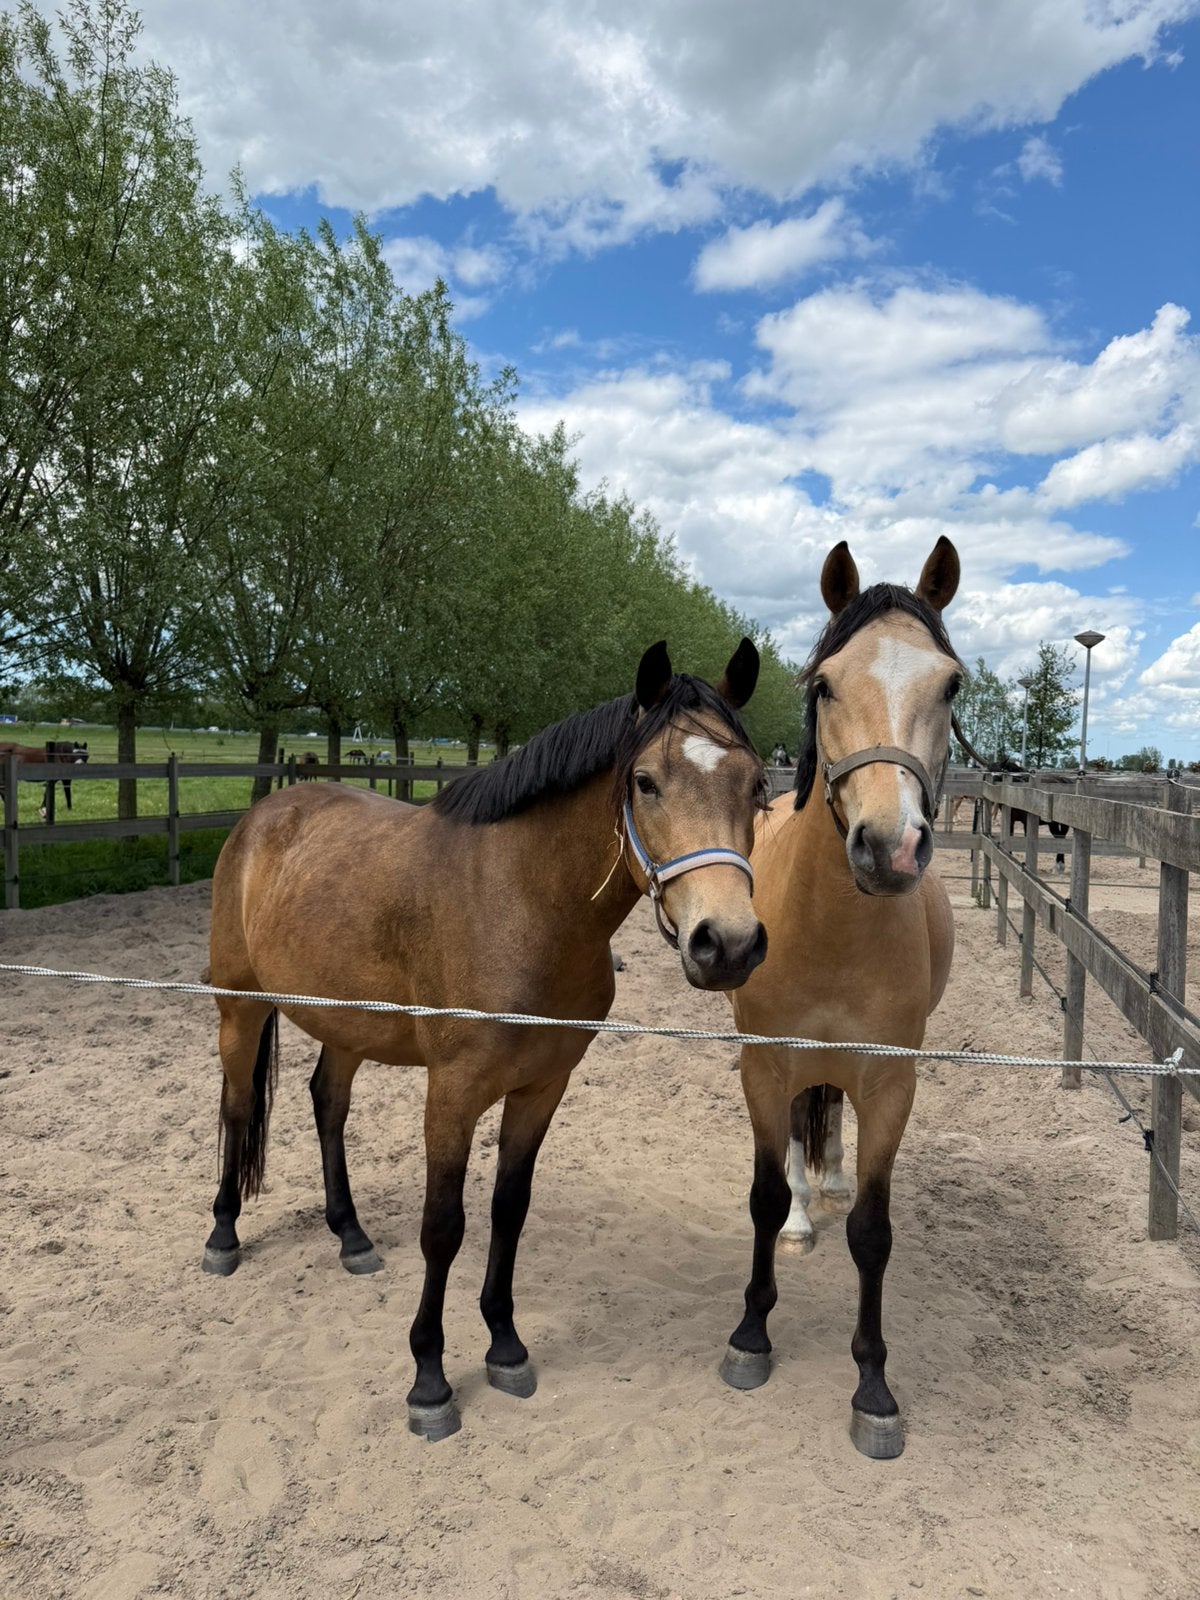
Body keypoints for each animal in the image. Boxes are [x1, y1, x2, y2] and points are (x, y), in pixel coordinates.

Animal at [205, 640, 769, 1441]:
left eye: (757, 787)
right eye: (645, 782)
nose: (727, 944)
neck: (523, 905)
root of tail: (264, 814)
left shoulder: (541, 1088)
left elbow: (509, 1209)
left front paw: (504, 1344)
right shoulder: (453, 1093)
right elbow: (444, 1227)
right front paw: (430, 1381)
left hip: (344, 1023)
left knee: (327, 1104)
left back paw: (350, 1236)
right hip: (240, 1008)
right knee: (234, 1106)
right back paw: (223, 1236)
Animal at [721, 537, 961, 1460]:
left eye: (951, 684)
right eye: (824, 683)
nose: (889, 847)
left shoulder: (892, 1083)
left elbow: (873, 1230)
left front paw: (873, 1388)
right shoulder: (763, 1065)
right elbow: (760, 1194)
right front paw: (751, 1337)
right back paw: (801, 1211)